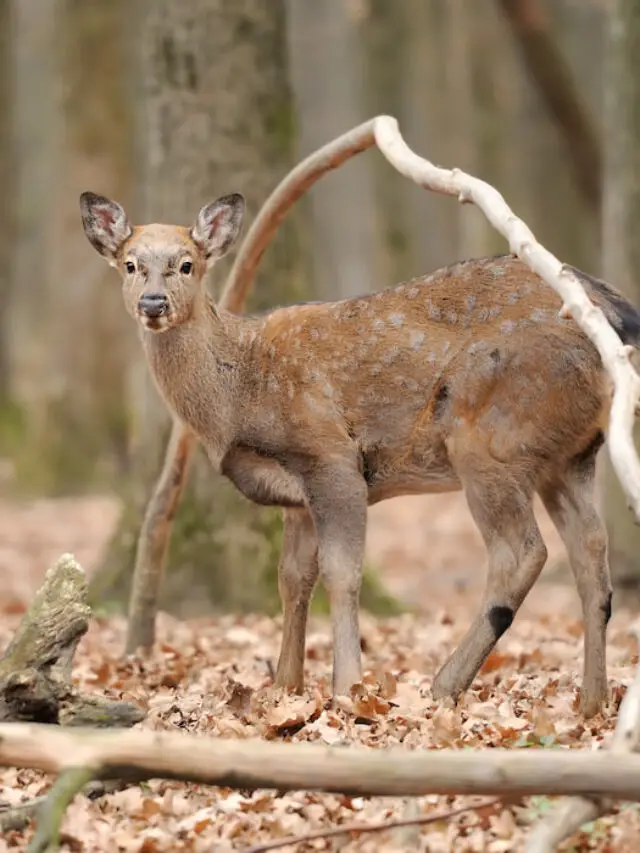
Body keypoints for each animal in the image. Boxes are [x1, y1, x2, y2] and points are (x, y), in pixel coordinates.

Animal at [79, 175, 640, 720]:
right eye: (130, 264)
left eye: (187, 264)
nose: (153, 303)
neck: (239, 393)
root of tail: (619, 318)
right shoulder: (296, 495)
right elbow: (292, 578)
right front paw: (285, 687)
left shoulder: (330, 455)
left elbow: (342, 573)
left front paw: (347, 688)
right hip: (569, 455)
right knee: (592, 555)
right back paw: (591, 703)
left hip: (490, 430)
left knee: (522, 553)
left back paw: (443, 686)